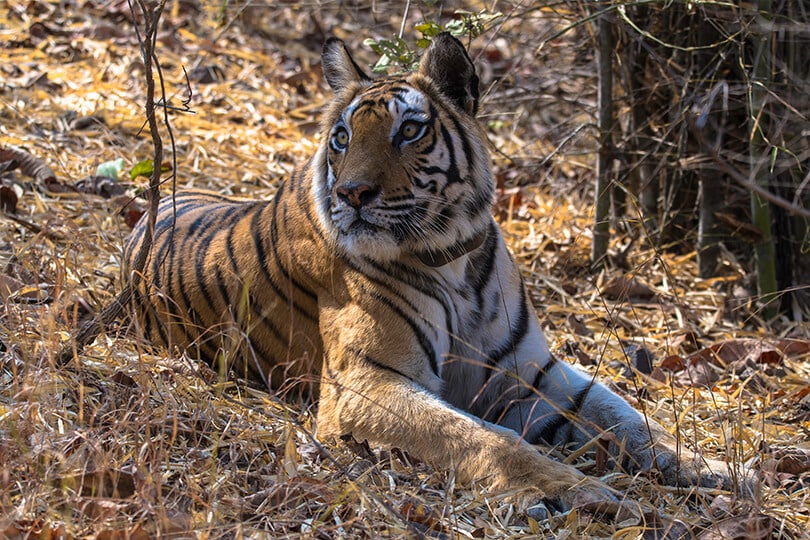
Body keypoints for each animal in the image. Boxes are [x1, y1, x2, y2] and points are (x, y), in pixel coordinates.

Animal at [124, 31, 740, 512]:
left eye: (409, 131)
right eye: (342, 137)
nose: (351, 193)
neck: (456, 259)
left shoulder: (528, 374)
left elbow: (626, 417)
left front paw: (716, 470)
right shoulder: (366, 384)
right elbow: (483, 437)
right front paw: (576, 492)